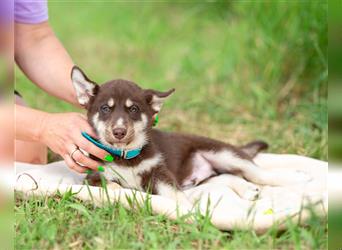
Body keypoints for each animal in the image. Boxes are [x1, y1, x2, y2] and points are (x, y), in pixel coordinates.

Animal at [71, 66, 310, 201]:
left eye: (134, 109)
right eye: (105, 108)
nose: (119, 132)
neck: (126, 156)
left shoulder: (161, 174)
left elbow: (175, 196)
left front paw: (186, 210)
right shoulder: (92, 178)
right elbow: (113, 186)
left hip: (223, 153)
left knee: (258, 173)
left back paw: (296, 177)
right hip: (205, 175)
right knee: (226, 177)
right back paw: (249, 190)